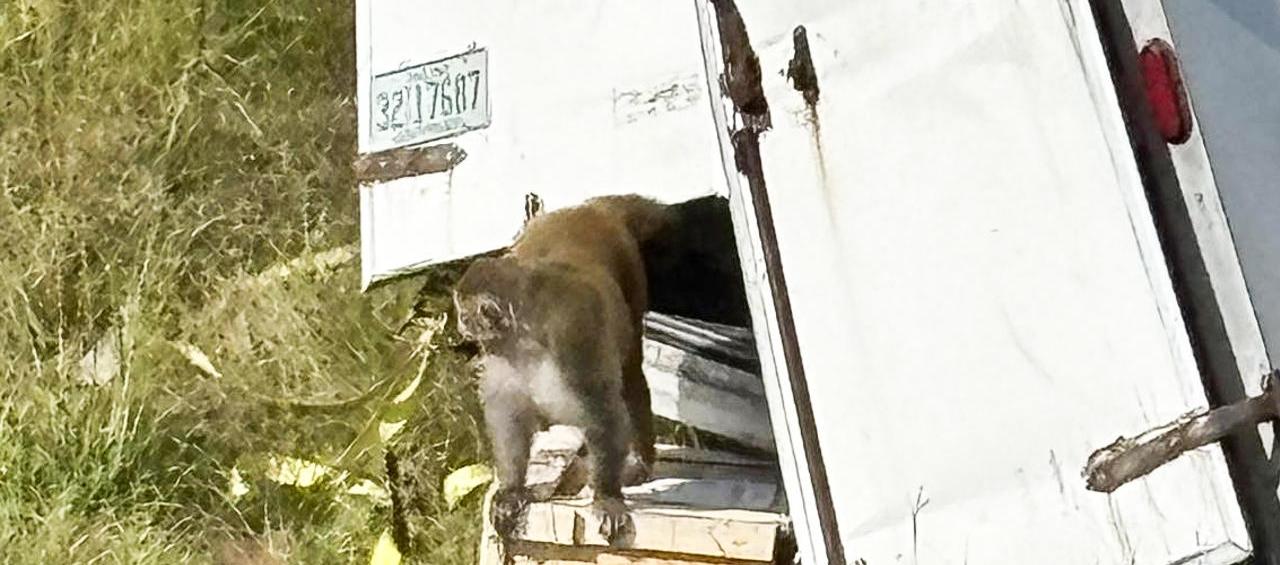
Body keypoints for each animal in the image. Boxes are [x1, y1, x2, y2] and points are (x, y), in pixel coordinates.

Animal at [453, 194, 672, 546]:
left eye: (463, 313)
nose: (460, 325)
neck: (525, 336)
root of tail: (588, 209)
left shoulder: (573, 337)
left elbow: (603, 411)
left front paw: (607, 497)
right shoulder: (502, 354)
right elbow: (509, 415)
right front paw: (512, 489)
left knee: (630, 374)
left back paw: (639, 461)